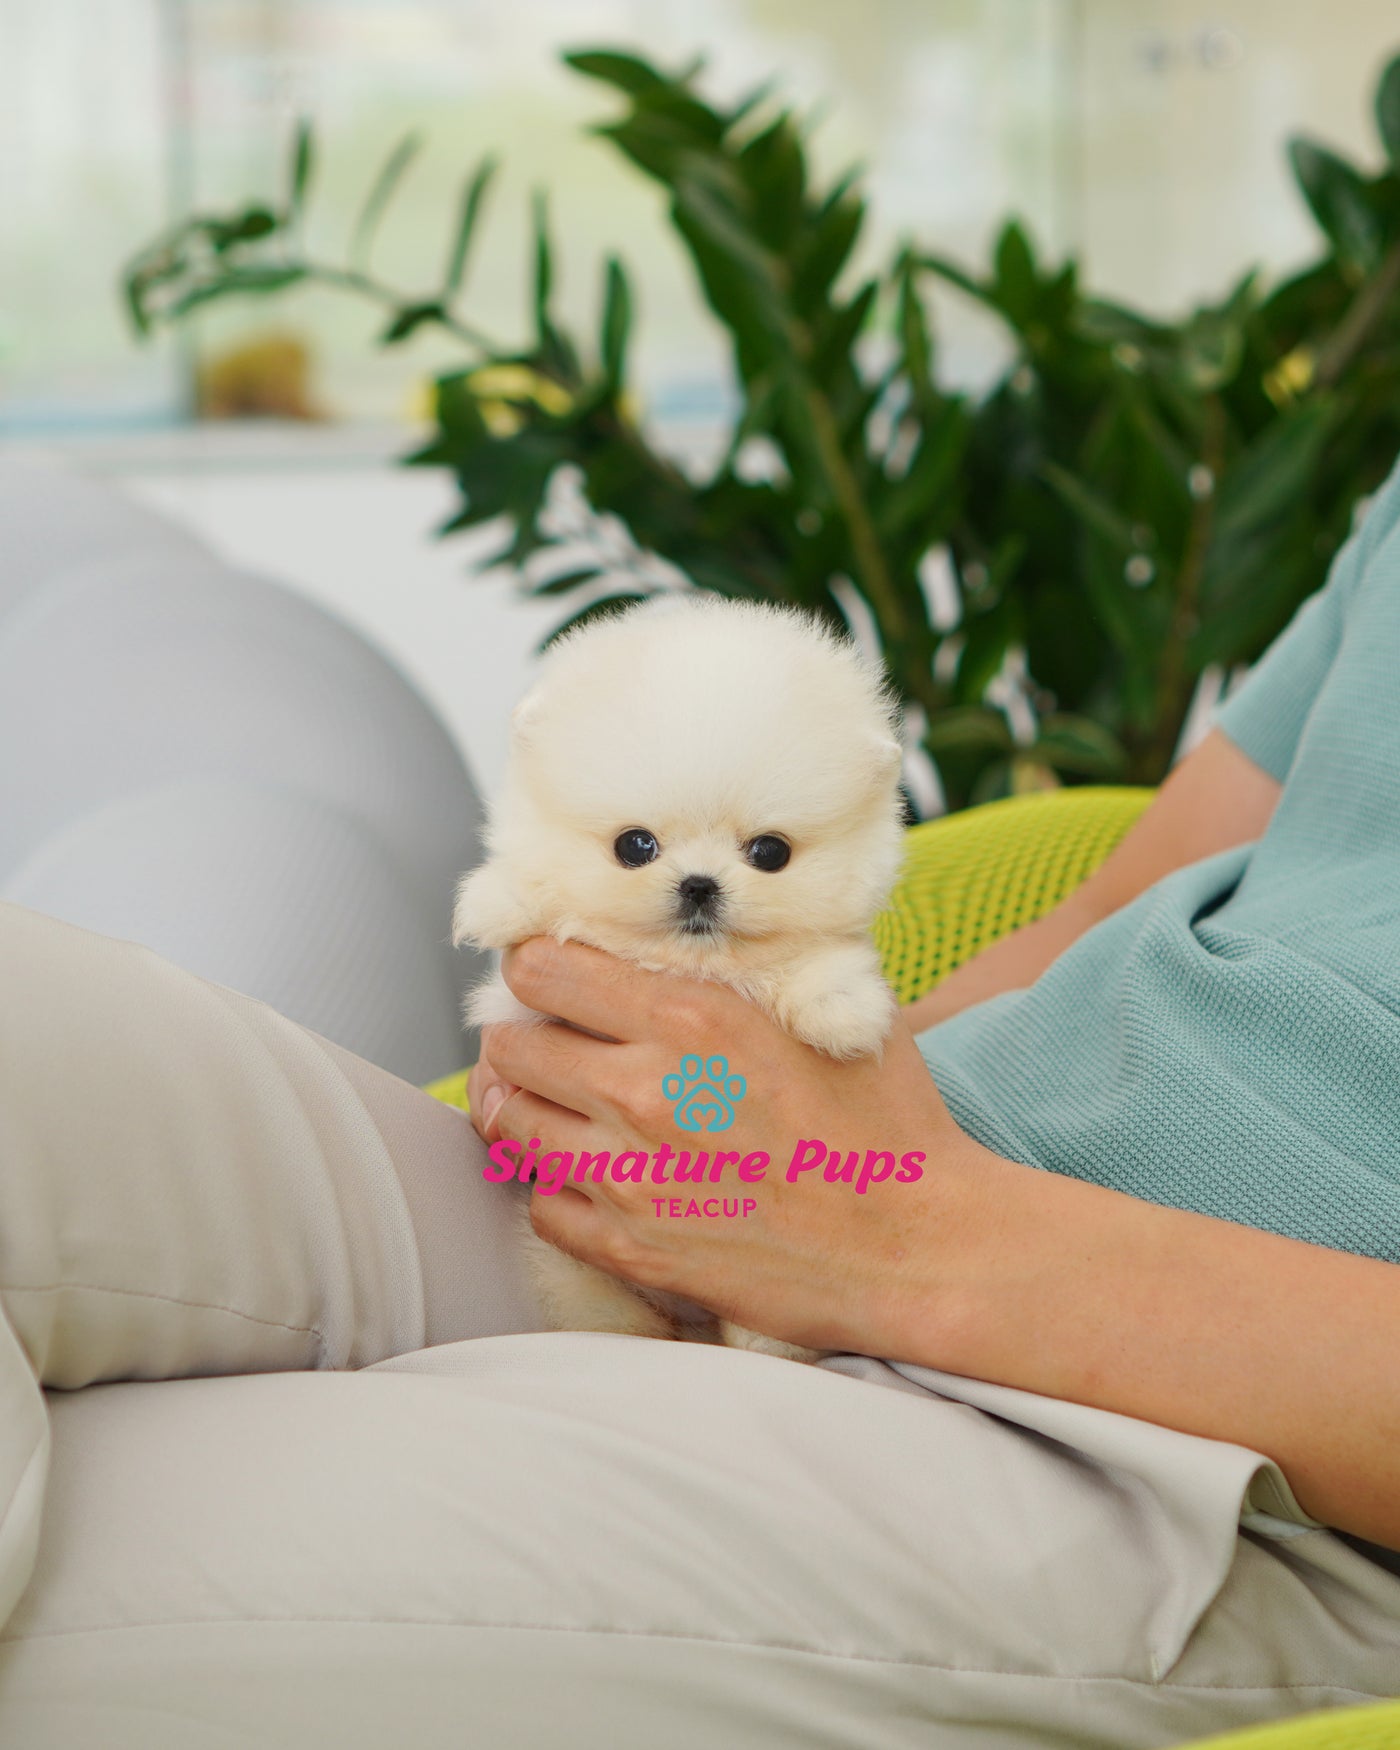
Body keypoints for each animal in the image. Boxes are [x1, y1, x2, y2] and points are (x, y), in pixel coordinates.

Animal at [455, 595, 903, 1358]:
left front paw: (841, 1010)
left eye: (770, 852)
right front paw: (499, 899)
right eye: (635, 846)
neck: (687, 968)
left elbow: (823, 958)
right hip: (578, 1273)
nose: (699, 885)